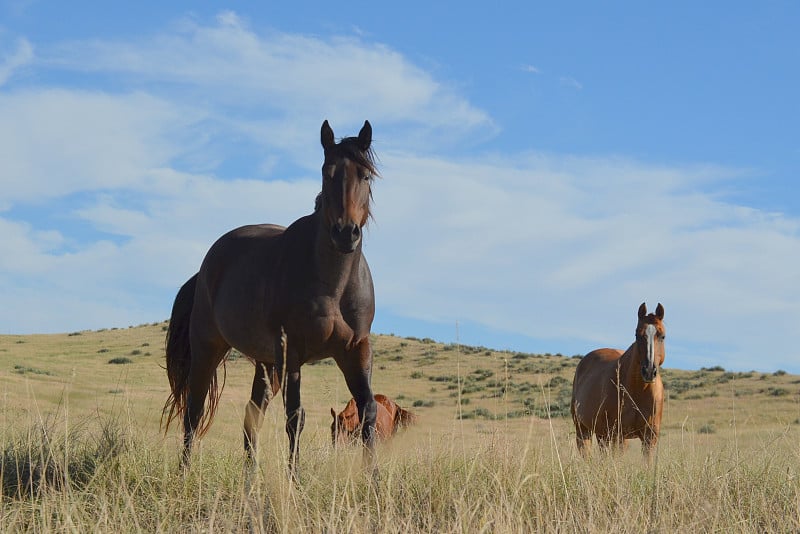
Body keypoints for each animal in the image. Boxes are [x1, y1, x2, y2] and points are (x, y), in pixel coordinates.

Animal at [162, 120, 382, 478]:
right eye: (327, 173)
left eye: (365, 176)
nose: (345, 233)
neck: (333, 285)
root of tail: (205, 268)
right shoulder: (292, 353)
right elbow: (296, 417)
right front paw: (295, 480)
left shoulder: (355, 350)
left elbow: (369, 410)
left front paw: (374, 481)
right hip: (210, 348)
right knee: (193, 412)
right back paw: (185, 473)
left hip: (266, 365)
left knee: (251, 417)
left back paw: (250, 478)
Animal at [572, 304, 664, 462]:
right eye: (637, 335)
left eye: (662, 336)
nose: (649, 371)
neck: (639, 390)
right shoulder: (617, 434)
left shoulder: (649, 436)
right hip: (584, 430)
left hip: (603, 434)